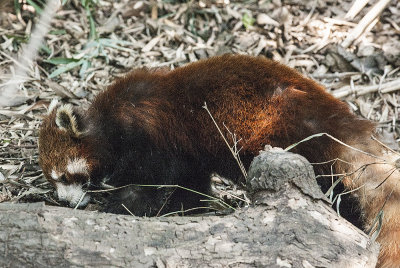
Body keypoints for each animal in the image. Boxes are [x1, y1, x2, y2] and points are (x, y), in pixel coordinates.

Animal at [39, 54, 400, 268]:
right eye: (52, 179)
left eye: (64, 176)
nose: (65, 202)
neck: (109, 125)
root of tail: (341, 121)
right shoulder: (188, 152)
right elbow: (191, 182)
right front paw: (190, 208)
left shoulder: (152, 136)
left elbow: (153, 182)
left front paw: (121, 205)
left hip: (291, 137)